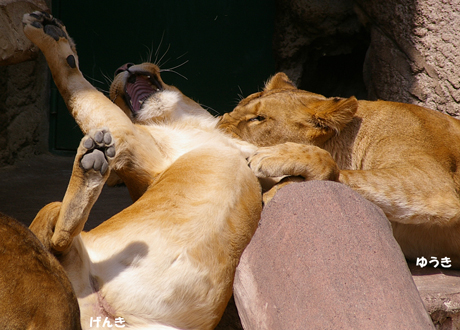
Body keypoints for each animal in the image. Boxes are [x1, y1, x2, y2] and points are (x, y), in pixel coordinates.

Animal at [23, 10, 260, 330]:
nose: (123, 65)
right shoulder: (136, 143)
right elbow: (79, 91)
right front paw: (50, 33)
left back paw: (93, 163)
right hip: (54, 219)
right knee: (56, 239)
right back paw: (91, 164)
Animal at [217, 71, 460, 268]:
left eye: (258, 118)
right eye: (236, 108)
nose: (216, 126)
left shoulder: (432, 180)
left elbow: (331, 165)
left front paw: (276, 166)